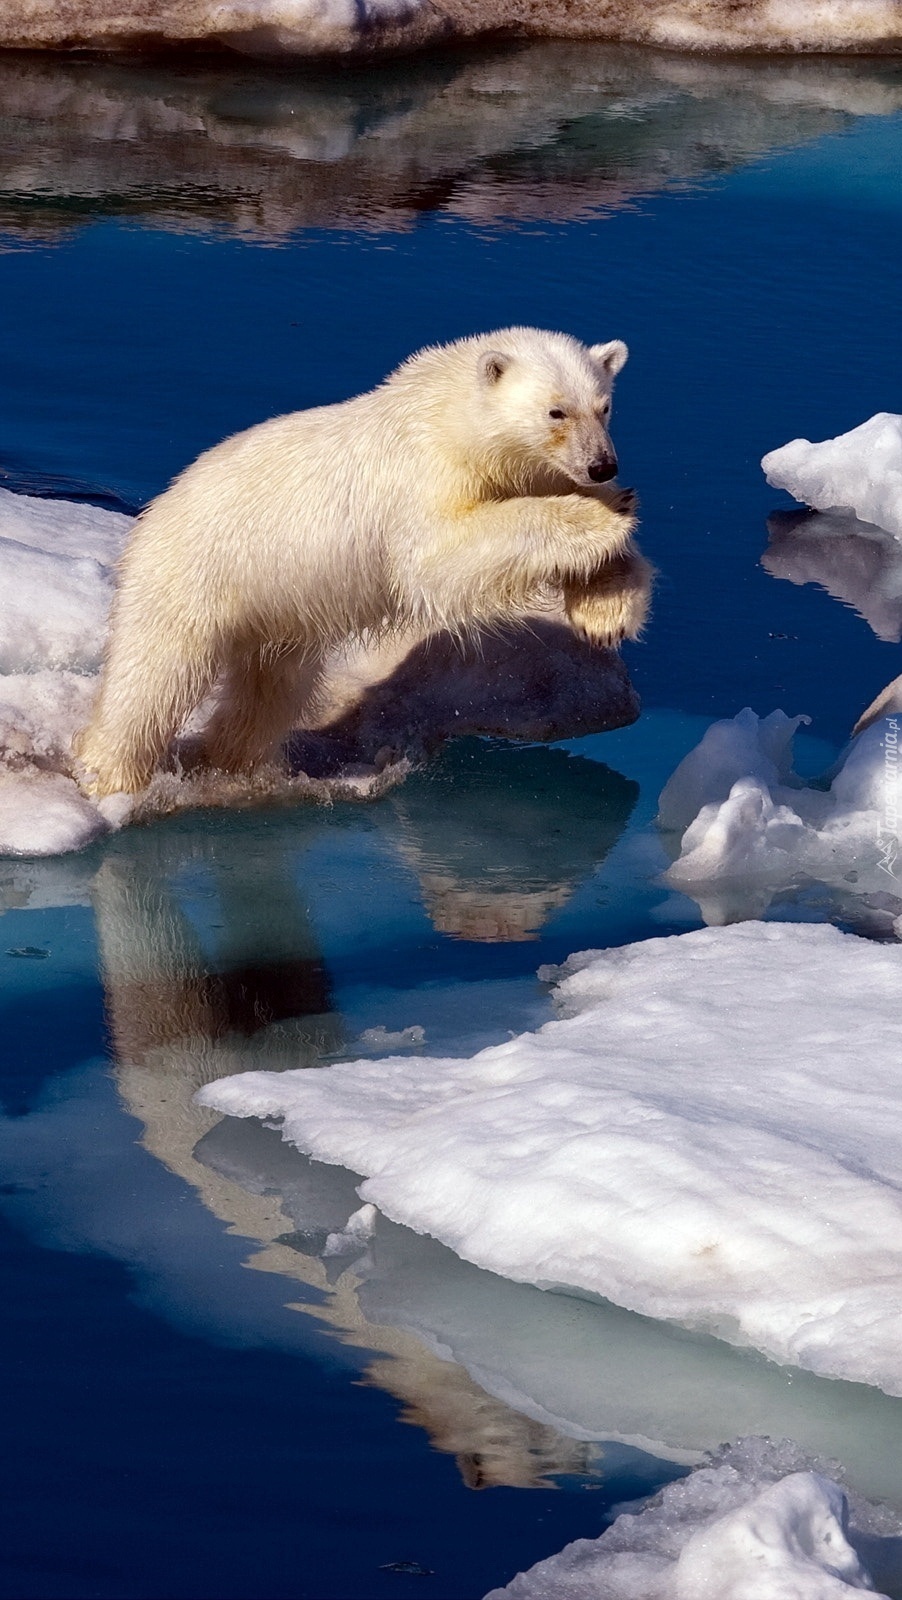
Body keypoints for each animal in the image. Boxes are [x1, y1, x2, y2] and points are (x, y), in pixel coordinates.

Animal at [73, 328, 646, 796]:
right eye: (556, 411)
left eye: (604, 406)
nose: (602, 464)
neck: (448, 414)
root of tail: (153, 514)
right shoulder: (423, 473)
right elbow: (441, 557)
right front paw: (603, 514)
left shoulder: (530, 470)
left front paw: (605, 612)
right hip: (193, 574)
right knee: (153, 675)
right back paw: (110, 774)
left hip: (278, 609)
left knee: (271, 687)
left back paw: (236, 762)